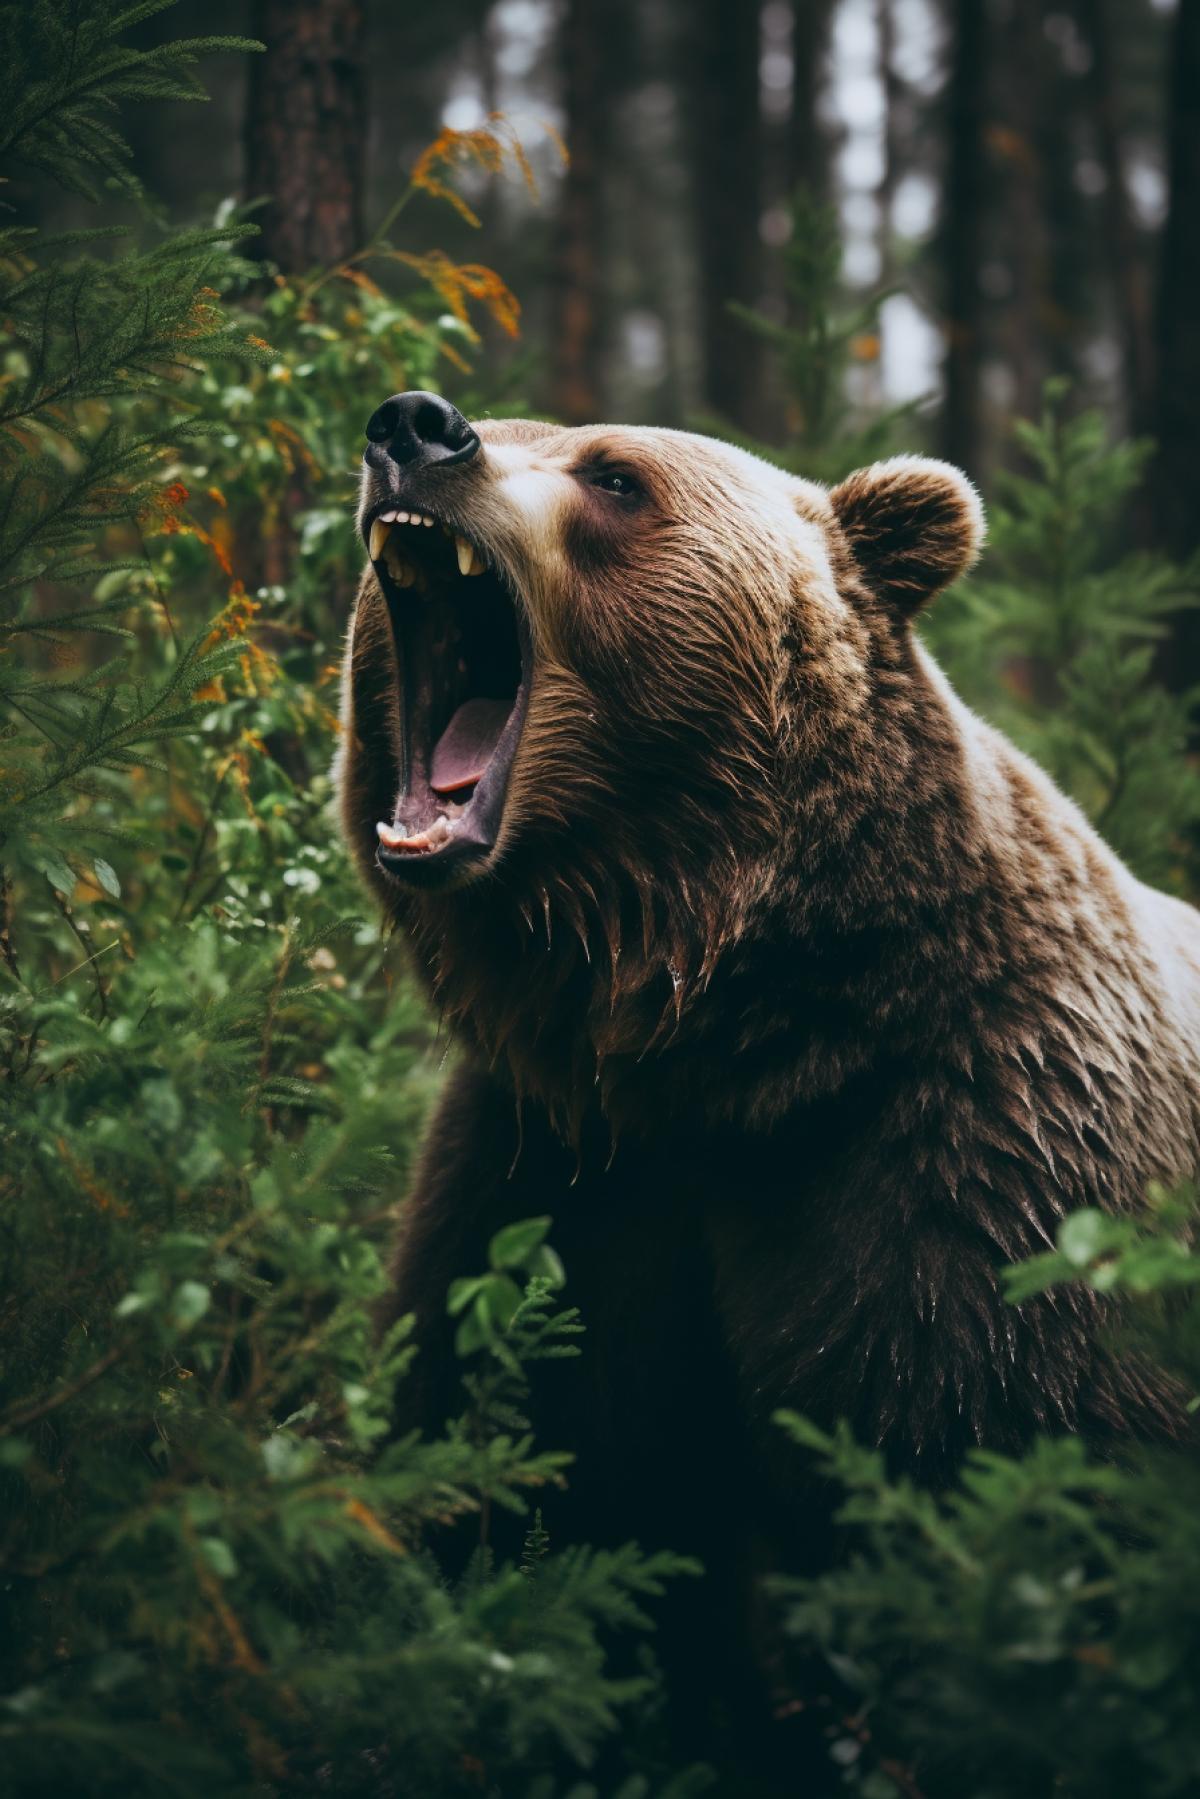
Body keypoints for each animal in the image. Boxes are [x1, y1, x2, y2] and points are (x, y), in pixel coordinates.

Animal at [337, 390, 1200, 1784]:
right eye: (506, 420)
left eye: (616, 476)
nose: (416, 428)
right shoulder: (555, 1176)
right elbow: (521, 1464)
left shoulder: (976, 1175)